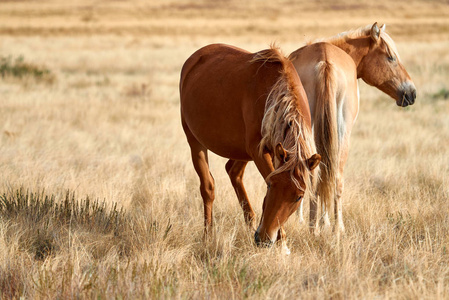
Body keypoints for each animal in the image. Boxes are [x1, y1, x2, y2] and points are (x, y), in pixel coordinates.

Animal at [178, 43, 318, 247]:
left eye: (299, 196)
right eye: (270, 186)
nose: (265, 239)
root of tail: (195, 57)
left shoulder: (270, 152)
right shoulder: (259, 152)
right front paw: (281, 239)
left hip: (243, 152)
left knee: (233, 172)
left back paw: (250, 222)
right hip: (195, 142)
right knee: (208, 187)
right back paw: (208, 236)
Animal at [288, 22, 416, 232]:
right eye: (391, 57)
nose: (411, 93)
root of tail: (325, 62)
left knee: (324, 175)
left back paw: (321, 227)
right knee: (329, 176)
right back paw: (329, 227)